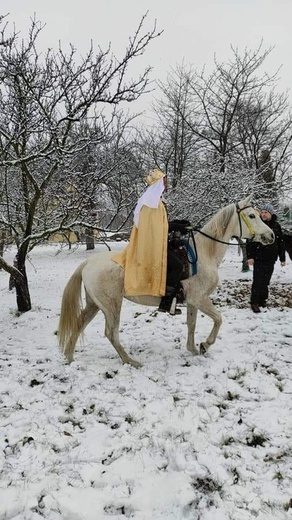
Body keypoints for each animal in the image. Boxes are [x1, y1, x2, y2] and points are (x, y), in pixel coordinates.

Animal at [57, 196, 274, 370]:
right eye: (252, 216)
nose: (271, 235)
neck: (205, 254)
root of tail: (88, 262)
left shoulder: (193, 301)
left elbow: (192, 324)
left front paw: (193, 349)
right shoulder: (200, 299)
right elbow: (218, 319)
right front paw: (205, 345)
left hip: (95, 305)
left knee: (79, 323)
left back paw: (70, 358)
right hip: (111, 307)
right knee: (111, 334)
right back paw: (130, 361)